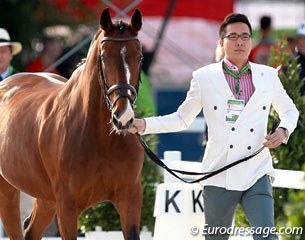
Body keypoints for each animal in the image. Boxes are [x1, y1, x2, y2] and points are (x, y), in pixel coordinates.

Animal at [0, 7, 144, 240]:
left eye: (139, 57)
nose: (123, 117)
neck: (101, 139)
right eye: (103, 57)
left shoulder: (130, 199)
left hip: (46, 198)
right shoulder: (67, 206)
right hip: (9, 191)